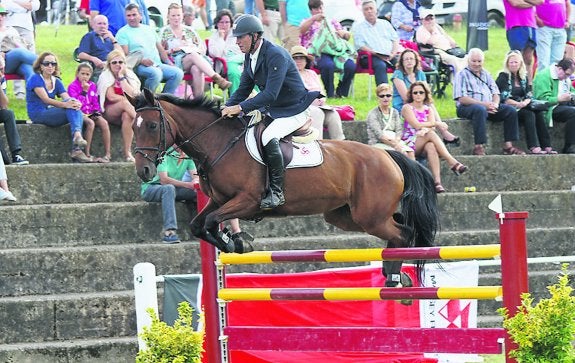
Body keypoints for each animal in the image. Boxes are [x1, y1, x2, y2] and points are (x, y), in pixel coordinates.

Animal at [128, 89, 438, 288]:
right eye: (134, 126)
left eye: (153, 125)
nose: (144, 171)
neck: (219, 144)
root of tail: (387, 155)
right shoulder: (218, 200)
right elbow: (198, 225)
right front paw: (235, 241)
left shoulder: (247, 200)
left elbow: (212, 222)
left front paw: (235, 242)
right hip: (347, 215)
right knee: (398, 229)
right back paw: (393, 276)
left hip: (369, 216)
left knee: (403, 233)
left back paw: (395, 278)